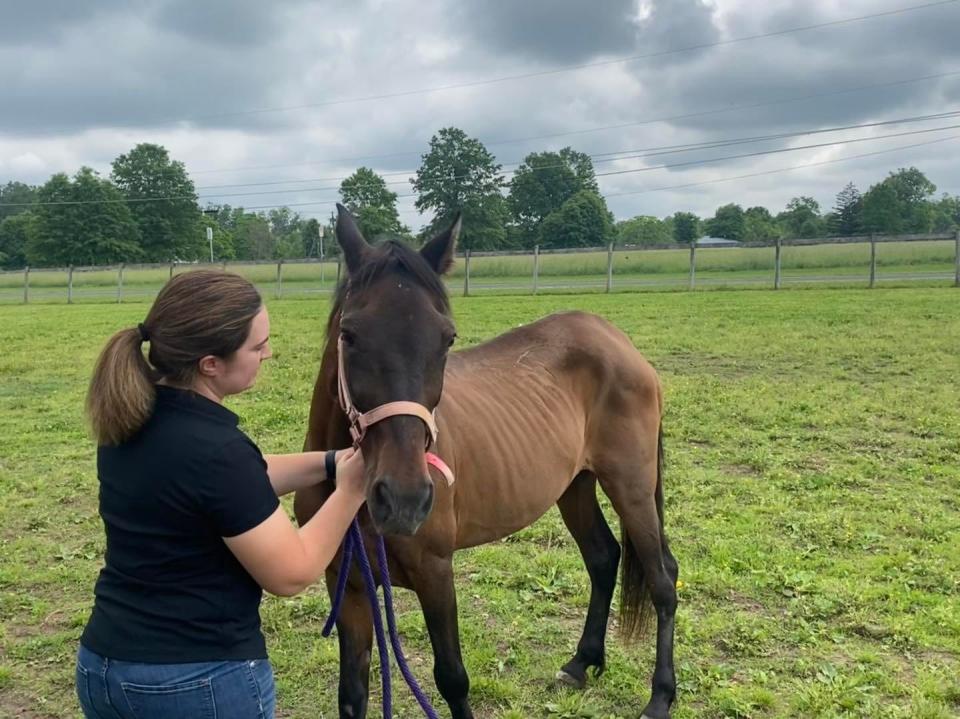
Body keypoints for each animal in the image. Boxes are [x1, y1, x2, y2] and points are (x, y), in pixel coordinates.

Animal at [296, 207, 680, 719]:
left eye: (447, 338)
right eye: (349, 334)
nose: (404, 499)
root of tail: (616, 340)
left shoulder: (436, 572)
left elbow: (453, 679)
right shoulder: (350, 585)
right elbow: (352, 694)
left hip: (632, 486)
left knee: (662, 579)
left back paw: (660, 696)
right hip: (575, 486)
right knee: (603, 557)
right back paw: (581, 663)